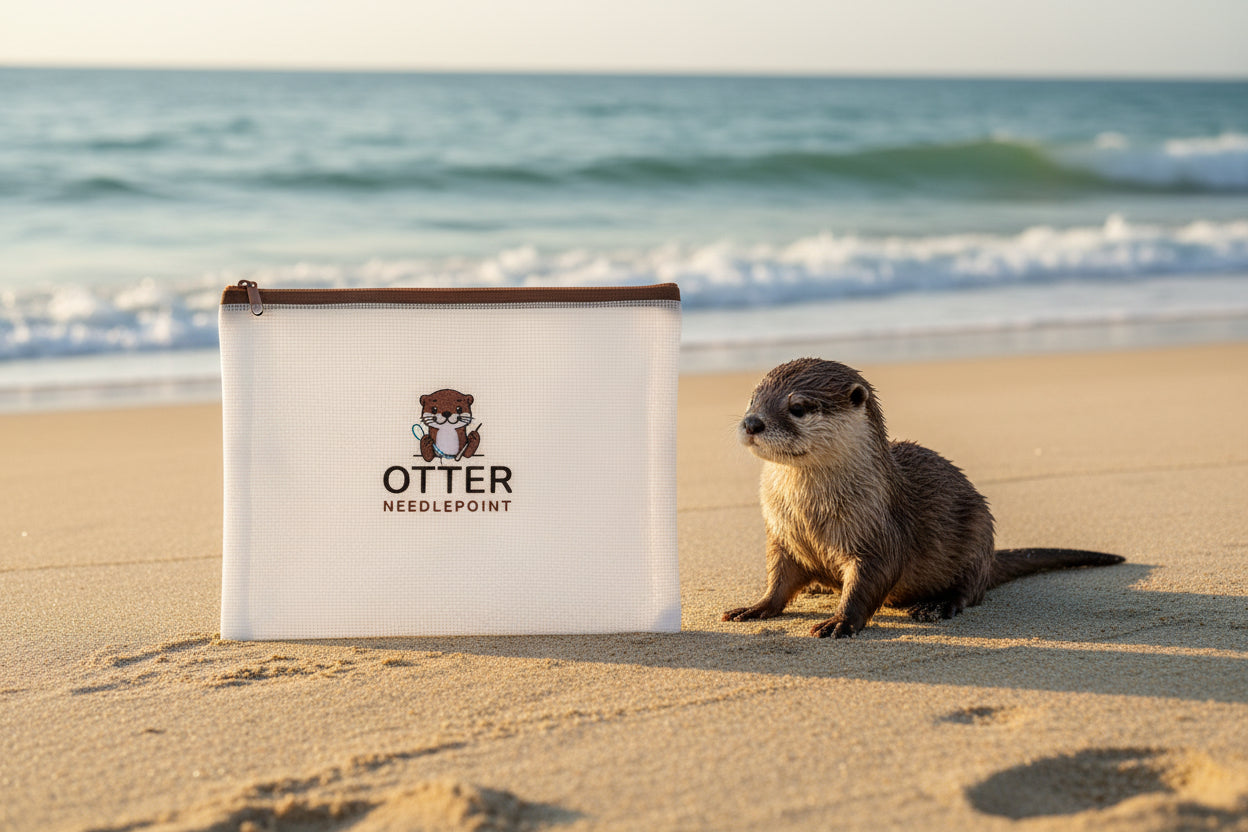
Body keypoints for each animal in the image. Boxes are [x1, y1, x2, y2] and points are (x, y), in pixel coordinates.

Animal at [721, 358, 1124, 639]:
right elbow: (778, 579)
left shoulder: (880, 533)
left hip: (979, 532)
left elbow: (871, 580)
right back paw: (820, 587)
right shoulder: (781, 535)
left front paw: (839, 622)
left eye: (798, 407)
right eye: (753, 399)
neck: (810, 515)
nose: (752, 422)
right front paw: (754, 607)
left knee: (970, 591)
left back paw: (935, 606)